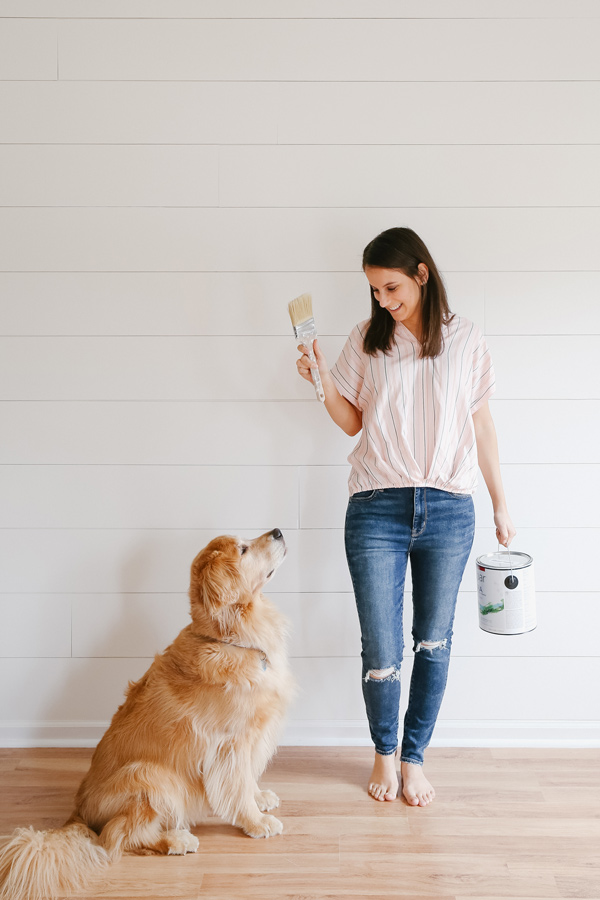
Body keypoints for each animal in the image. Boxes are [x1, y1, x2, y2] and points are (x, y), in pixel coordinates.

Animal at [0, 528, 292, 900]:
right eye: (243, 549)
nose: (279, 531)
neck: (231, 638)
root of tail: (79, 814)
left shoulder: (249, 742)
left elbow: (248, 779)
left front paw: (261, 798)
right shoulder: (231, 745)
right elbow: (238, 787)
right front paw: (256, 822)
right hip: (150, 776)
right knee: (118, 837)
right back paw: (176, 840)